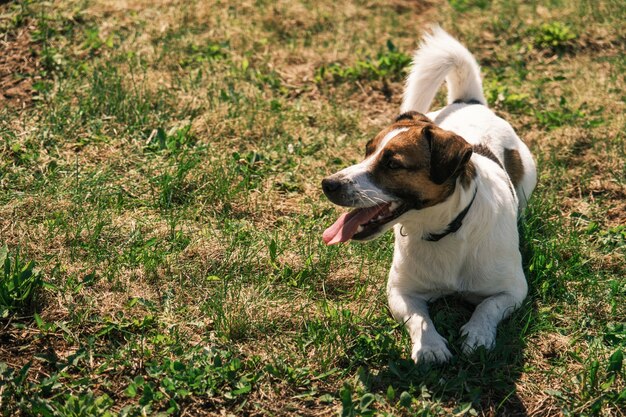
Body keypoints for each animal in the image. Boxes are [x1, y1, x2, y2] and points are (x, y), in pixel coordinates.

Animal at [320, 27, 532, 362]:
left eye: (393, 163)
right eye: (367, 151)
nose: (328, 183)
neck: (441, 231)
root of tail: (468, 102)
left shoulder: (512, 290)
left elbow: (487, 308)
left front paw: (478, 334)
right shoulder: (400, 291)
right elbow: (418, 317)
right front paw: (430, 345)